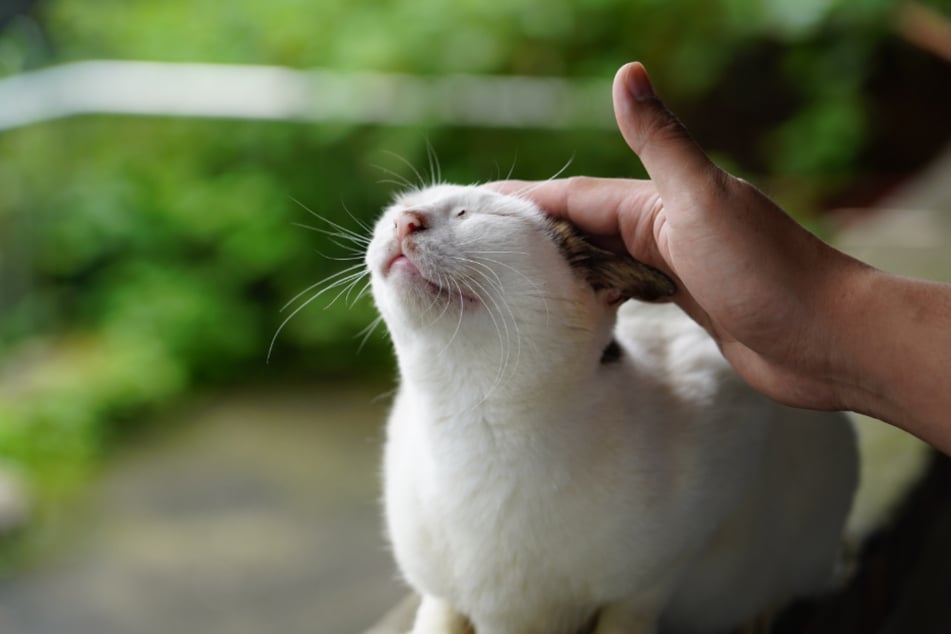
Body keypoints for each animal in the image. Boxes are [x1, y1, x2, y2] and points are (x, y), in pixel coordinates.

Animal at [364, 183, 856, 632]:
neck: (473, 428)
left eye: (468, 214)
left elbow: (628, 615)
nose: (405, 220)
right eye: (403, 205)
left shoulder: (676, 550)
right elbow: (438, 617)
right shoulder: (440, 594)